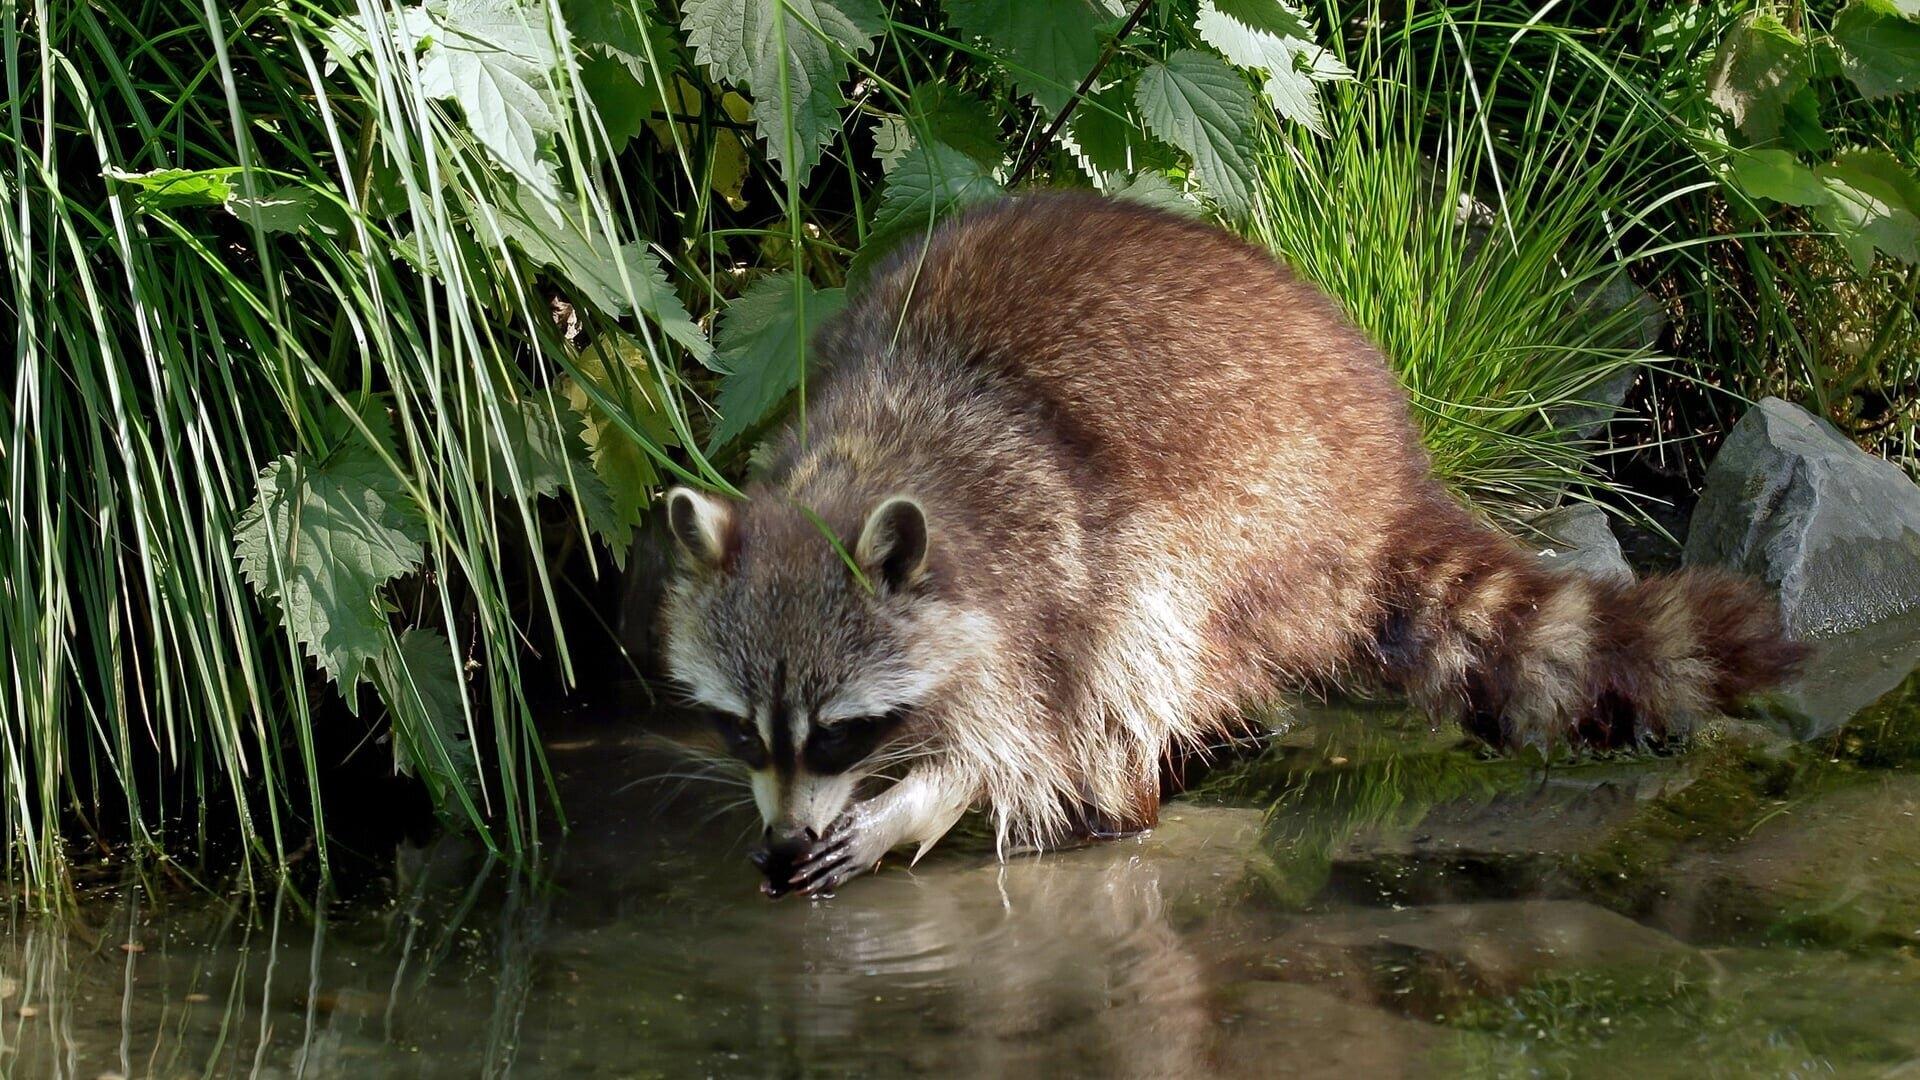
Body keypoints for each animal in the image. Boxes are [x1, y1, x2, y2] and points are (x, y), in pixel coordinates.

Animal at [652, 191, 1804, 891]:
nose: (783, 841)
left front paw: (919, 803)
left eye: (838, 735)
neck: (868, 451)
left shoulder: (1039, 560)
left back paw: (1120, 809)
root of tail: (1386, 472)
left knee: (1140, 649)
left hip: (1251, 514)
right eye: (740, 732)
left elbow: (1032, 730)